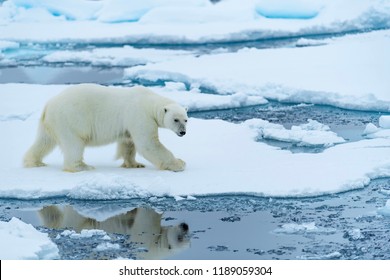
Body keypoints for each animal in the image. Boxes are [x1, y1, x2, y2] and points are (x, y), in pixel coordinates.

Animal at [23, 83, 188, 172]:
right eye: (175, 119)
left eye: (186, 120)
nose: (183, 132)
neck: (149, 102)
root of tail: (48, 104)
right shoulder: (140, 115)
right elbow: (148, 143)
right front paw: (179, 163)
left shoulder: (129, 123)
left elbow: (128, 144)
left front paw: (135, 164)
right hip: (70, 119)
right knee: (74, 144)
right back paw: (83, 167)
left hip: (51, 123)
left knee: (44, 141)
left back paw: (34, 162)